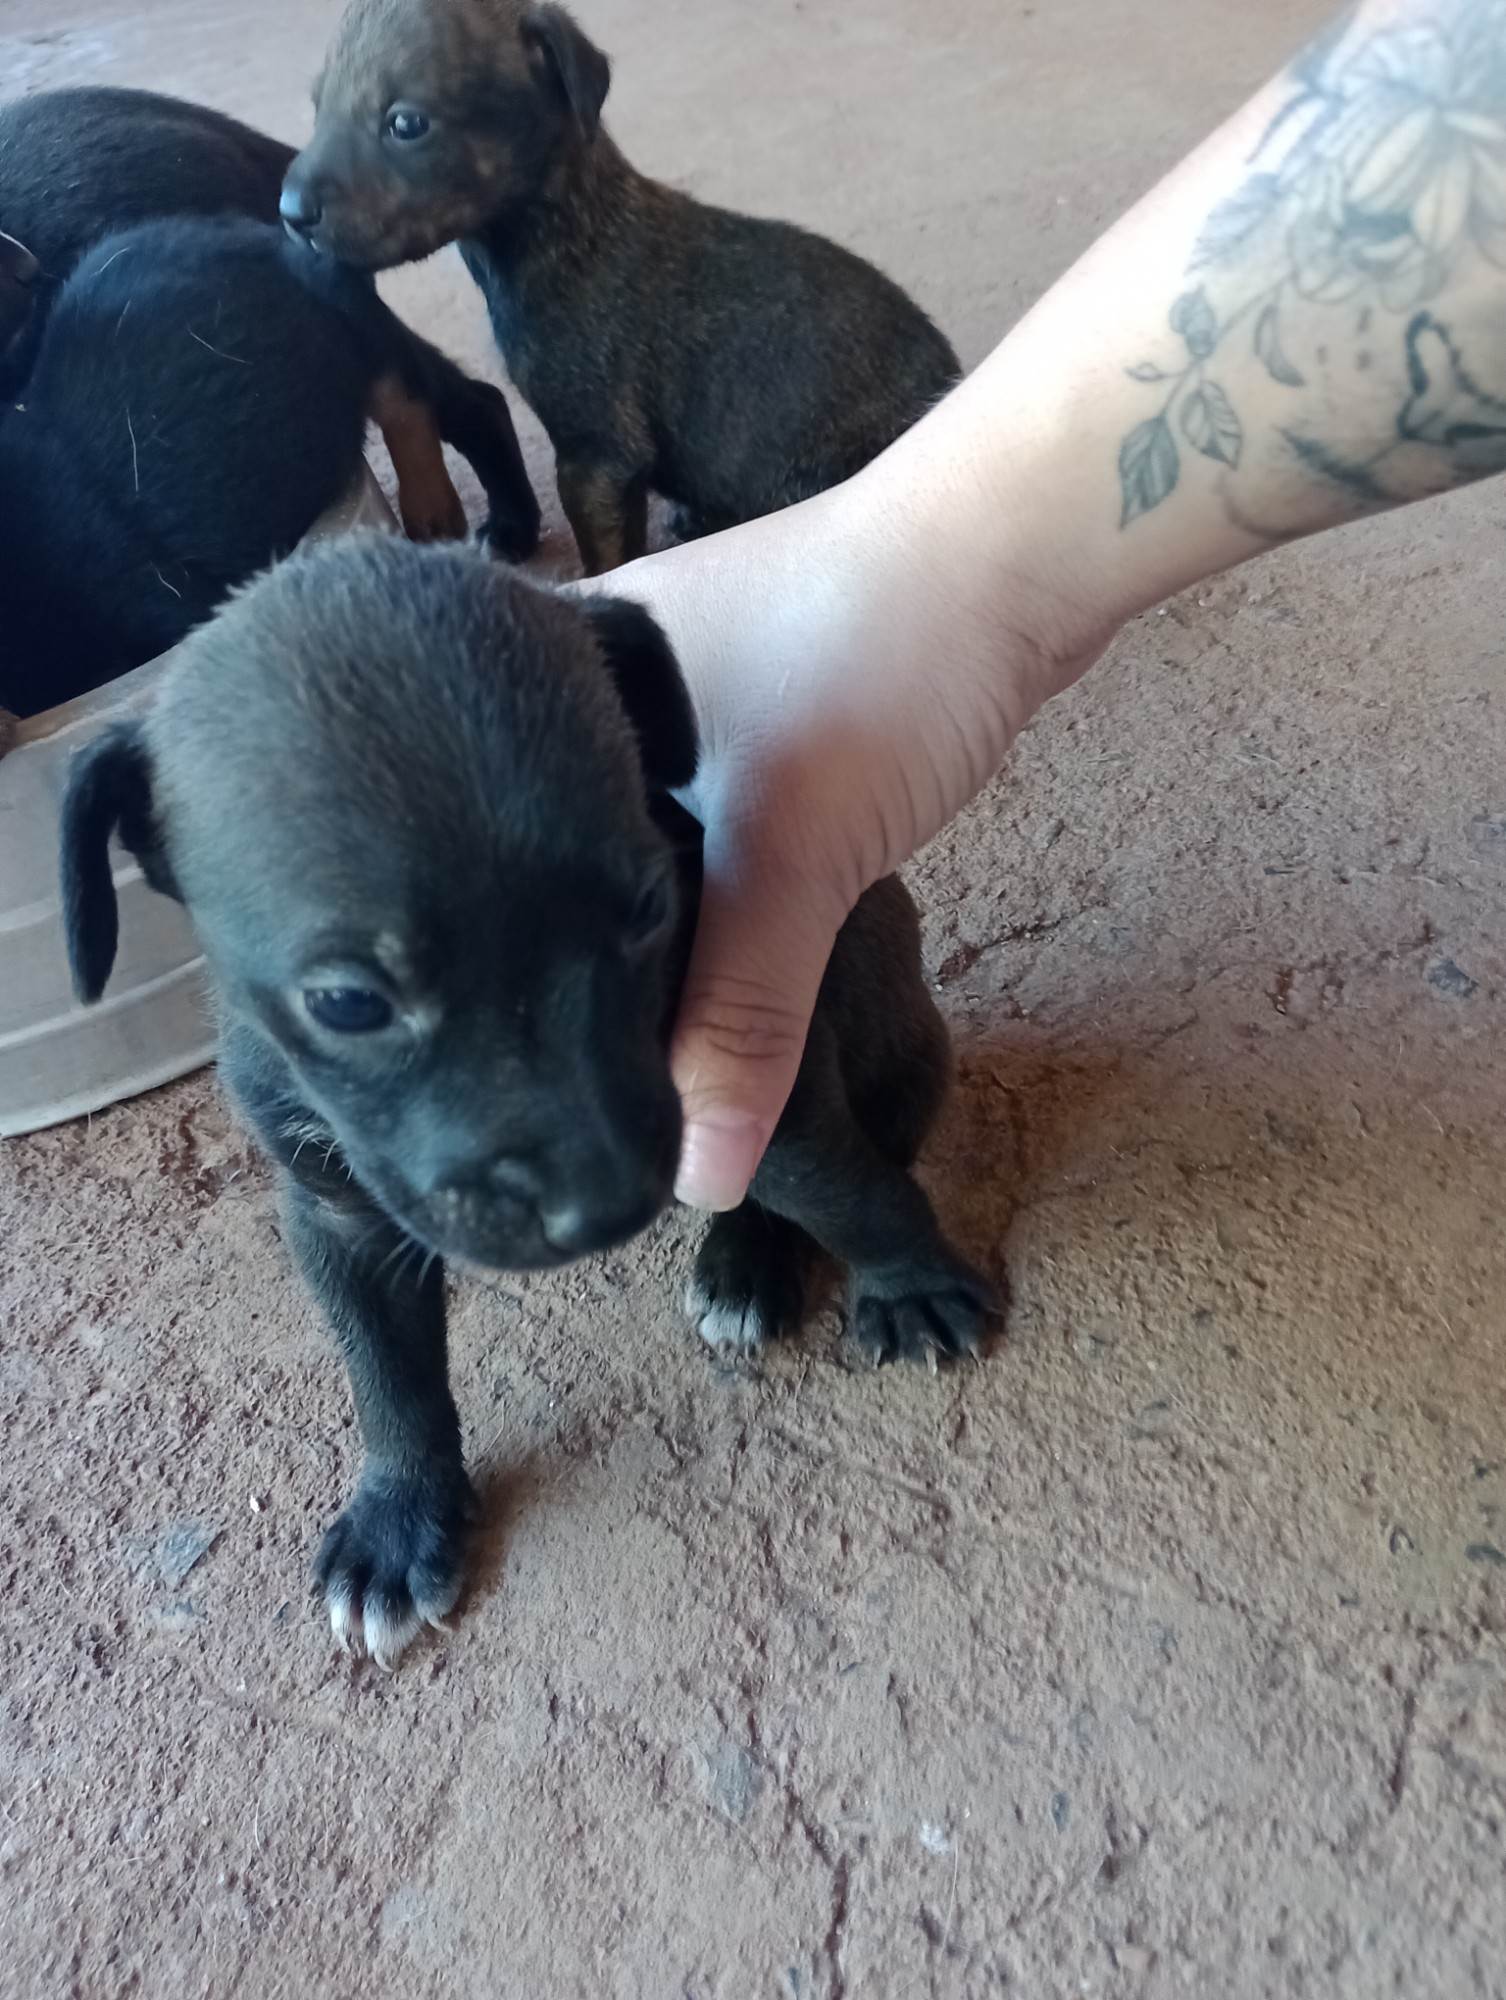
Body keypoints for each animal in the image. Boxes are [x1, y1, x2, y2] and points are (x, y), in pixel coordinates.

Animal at [59, 535, 997, 1665]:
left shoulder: (759, 1078)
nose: (605, 1205)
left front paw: (912, 1279)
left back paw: (748, 1262)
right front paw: (400, 1516)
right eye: (346, 1001)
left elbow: (840, 1188)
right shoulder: (333, 1210)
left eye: (649, 902)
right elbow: (387, 1372)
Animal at [282, 0, 961, 574]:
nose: (289, 211)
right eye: (316, 107)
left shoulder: (597, 457)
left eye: (406, 123)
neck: (572, 232)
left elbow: (610, 561)